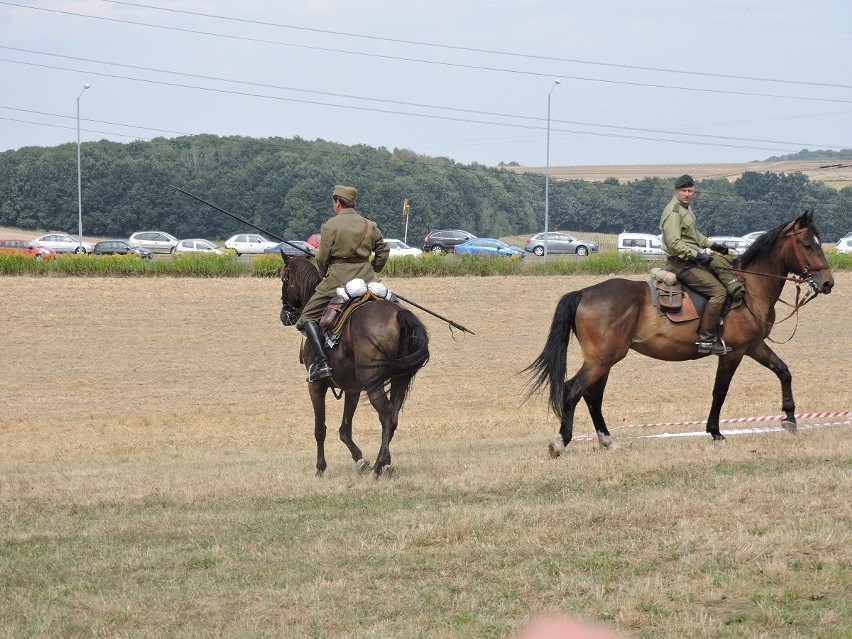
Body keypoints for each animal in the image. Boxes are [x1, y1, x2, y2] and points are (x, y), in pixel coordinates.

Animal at [280, 255, 430, 476]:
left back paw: (378, 466)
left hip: (373, 383)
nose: (284, 315)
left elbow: (320, 429)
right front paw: (360, 459)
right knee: (393, 416)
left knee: (386, 415)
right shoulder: (352, 389)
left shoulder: (315, 386)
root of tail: (398, 316)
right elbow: (345, 429)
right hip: (400, 380)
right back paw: (384, 462)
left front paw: (320, 467)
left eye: (284, 279)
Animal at [524, 210, 836, 456]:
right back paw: (561, 442)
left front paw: (790, 418)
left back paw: (607, 440)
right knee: (572, 390)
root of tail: (584, 292)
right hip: (602, 359)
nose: (827, 283)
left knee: (592, 396)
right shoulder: (733, 352)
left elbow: (783, 371)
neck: (749, 288)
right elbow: (719, 391)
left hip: (604, 359)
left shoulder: (754, 346)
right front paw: (716, 432)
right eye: (807, 244)